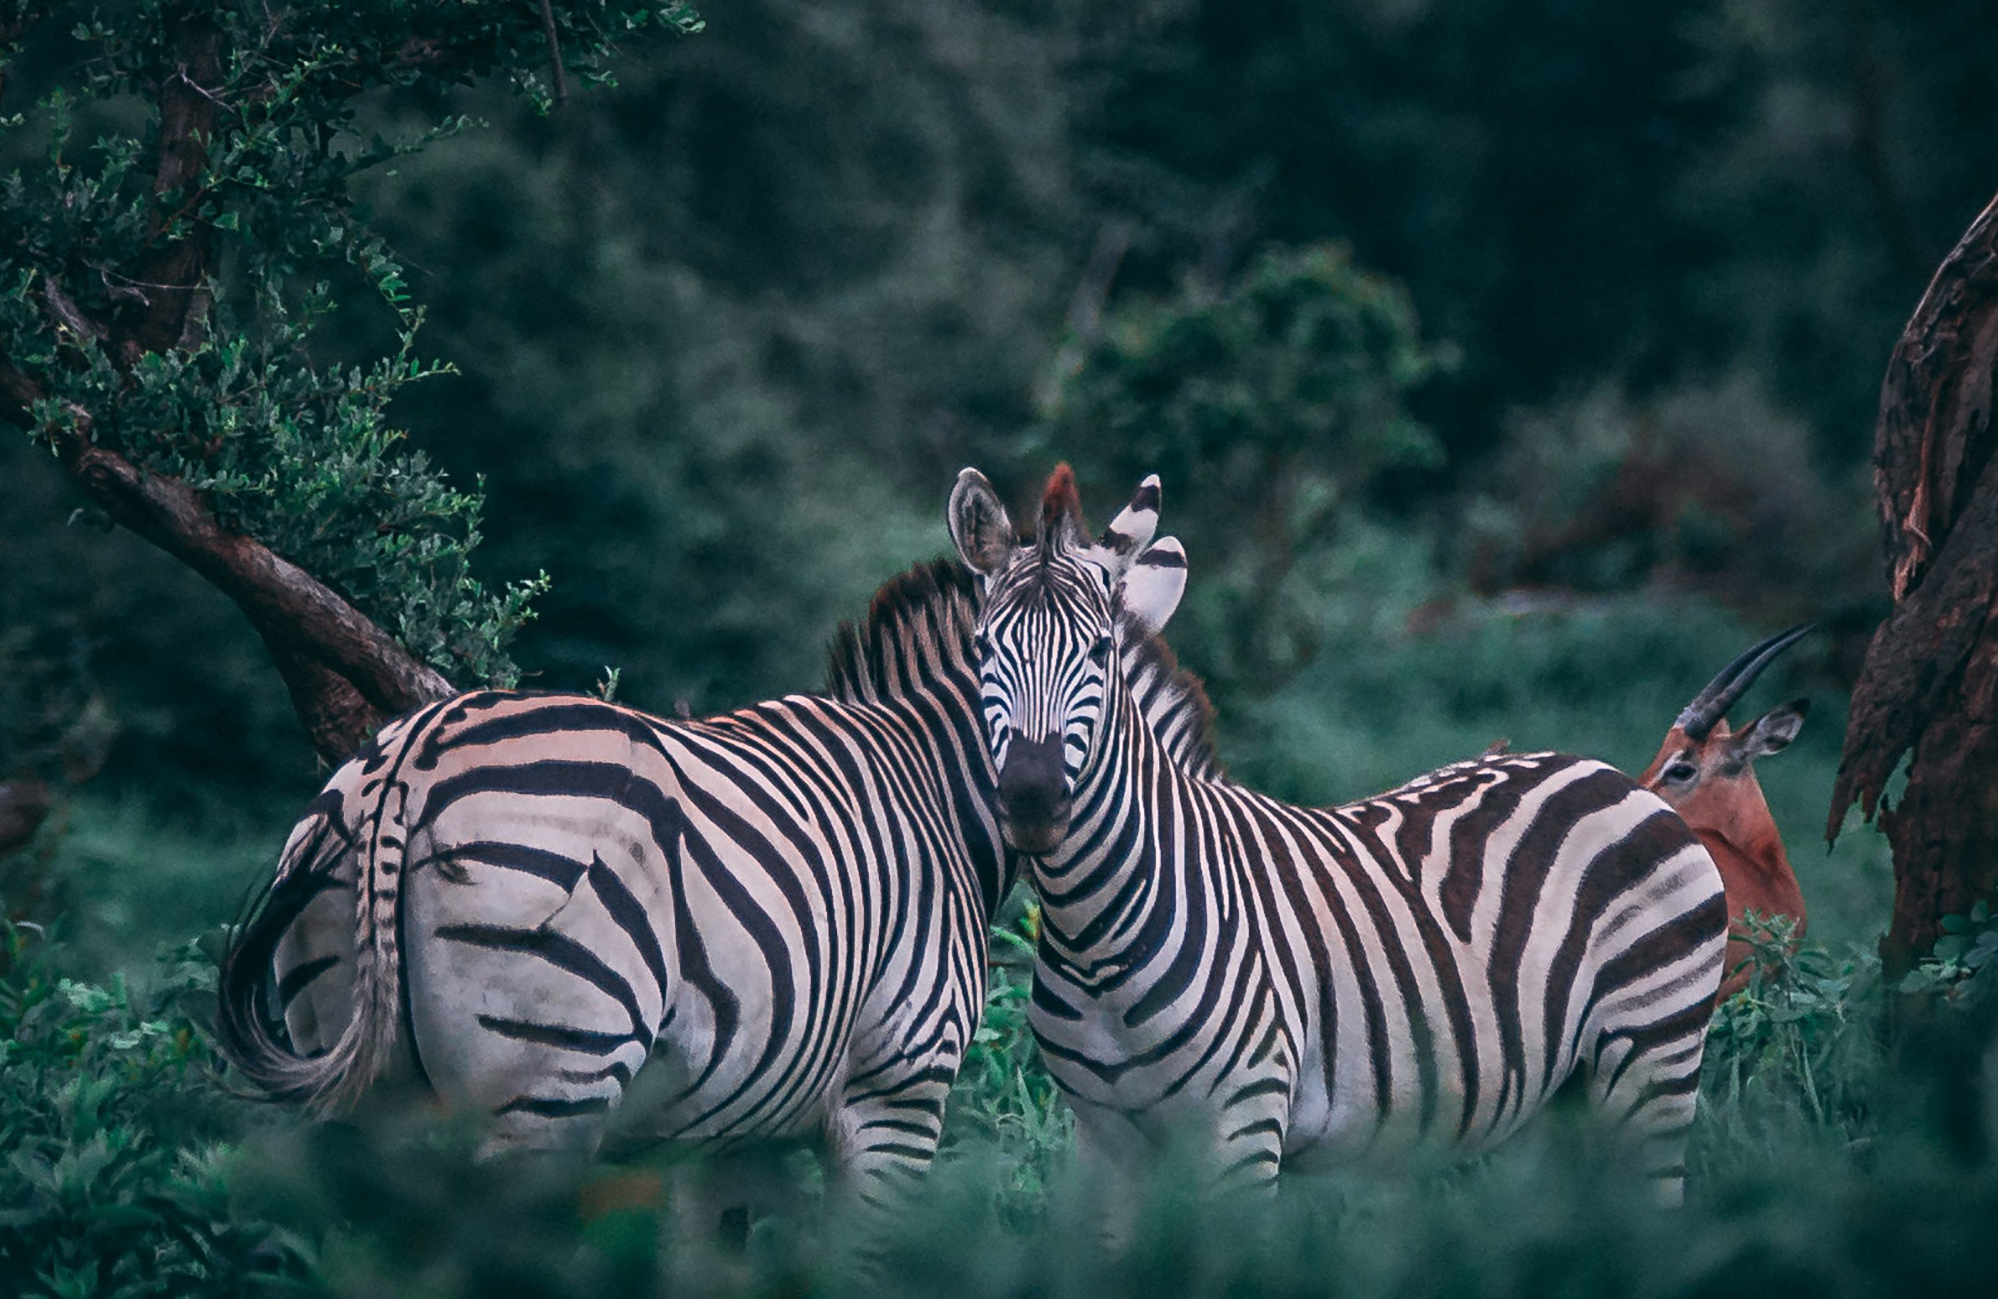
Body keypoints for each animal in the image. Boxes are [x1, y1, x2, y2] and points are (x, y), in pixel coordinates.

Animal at [946, 464, 1727, 1205]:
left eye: (1100, 652)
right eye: (982, 647)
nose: (1032, 800)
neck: (1097, 938)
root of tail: (1610, 774)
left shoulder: (1245, 1124)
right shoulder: (1104, 1140)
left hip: (1654, 1059)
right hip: (1552, 1101)